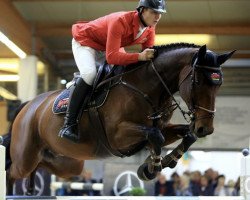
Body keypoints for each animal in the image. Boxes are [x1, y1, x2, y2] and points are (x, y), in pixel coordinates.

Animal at [3, 43, 234, 195]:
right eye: (197, 81)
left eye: (219, 84)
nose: (205, 128)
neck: (147, 87)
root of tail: (28, 105)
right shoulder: (118, 136)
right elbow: (155, 136)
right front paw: (152, 168)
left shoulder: (162, 127)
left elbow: (184, 135)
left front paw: (165, 161)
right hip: (26, 155)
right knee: (12, 172)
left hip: (67, 164)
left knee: (40, 165)